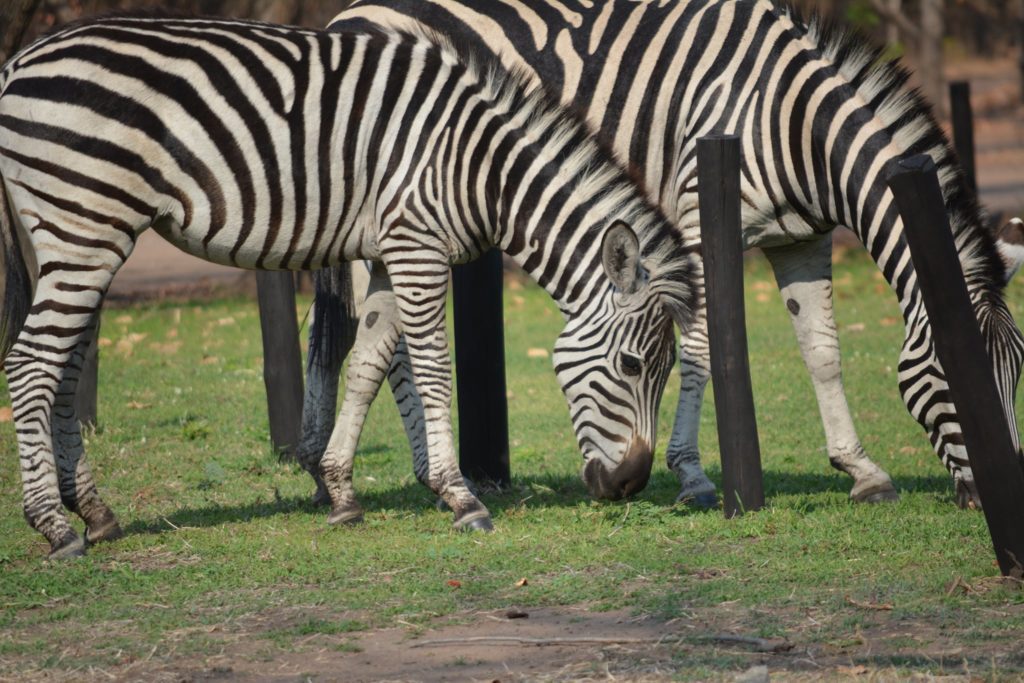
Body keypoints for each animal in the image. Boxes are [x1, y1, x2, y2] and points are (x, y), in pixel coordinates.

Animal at [0, 12, 696, 561]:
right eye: (632, 366)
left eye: (664, 371)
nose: (630, 486)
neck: (482, 166)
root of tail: (19, 62)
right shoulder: (417, 245)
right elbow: (432, 369)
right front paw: (462, 496)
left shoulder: (391, 253)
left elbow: (366, 364)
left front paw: (342, 491)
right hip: (85, 229)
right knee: (31, 364)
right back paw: (56, 527)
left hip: (69, 239)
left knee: (64, 366)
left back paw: (96, 512)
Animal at [296, 0, 1024, 509]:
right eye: (953, 375)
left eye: (1016, 376)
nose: (1004, 490)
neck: (790, 118)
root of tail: (347, 15)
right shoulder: (699, 225)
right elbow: (700, 349)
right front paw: (694, 475)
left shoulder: (803, 239)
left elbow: (821, 351)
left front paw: (862, 470)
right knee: (379, 341)